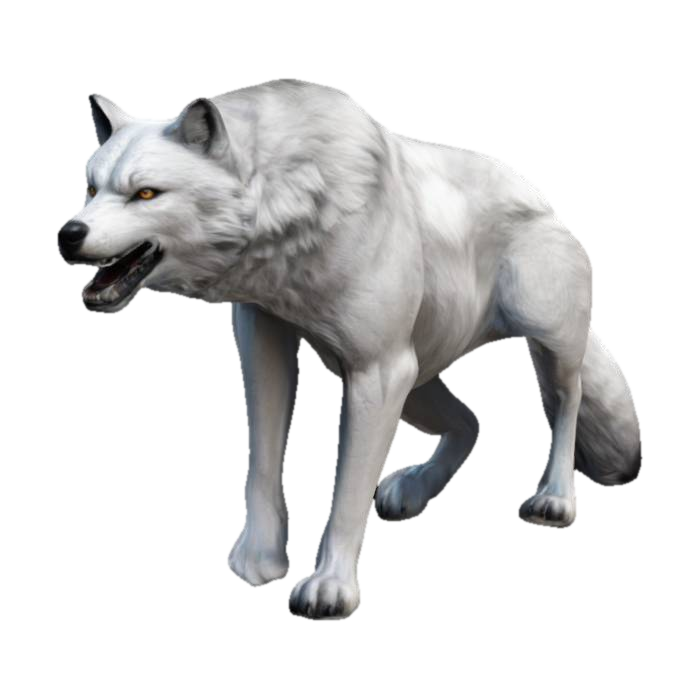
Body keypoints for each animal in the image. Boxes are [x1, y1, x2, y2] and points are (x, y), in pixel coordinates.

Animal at [57, 77, 644, 623]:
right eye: (89, 188)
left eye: (146, 194)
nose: (67, 232)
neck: (294, 204)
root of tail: (548, 200)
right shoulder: (266, 338)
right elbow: (262, 464)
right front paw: (258, 563)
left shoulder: (377, 371)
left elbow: (346, 494)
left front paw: (330, 589)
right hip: (415, 380)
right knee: (474, 420)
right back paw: (414, 489)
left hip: (540, 345)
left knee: (564, 406)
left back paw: (553, 500)